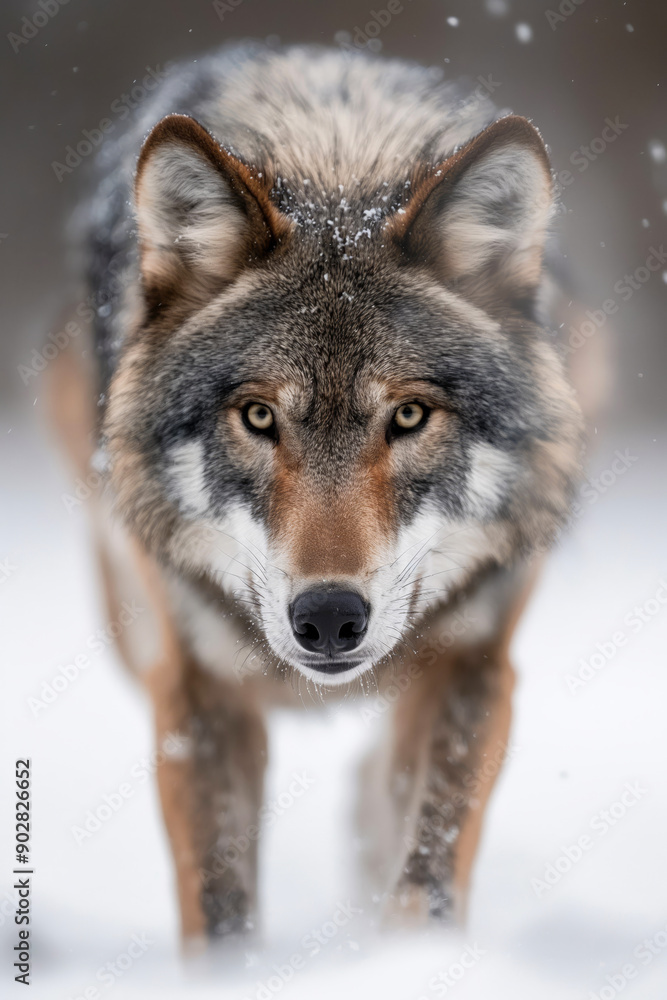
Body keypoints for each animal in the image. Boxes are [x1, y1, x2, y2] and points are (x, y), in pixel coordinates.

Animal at [49, 43, 583, 946]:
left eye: (408, 415)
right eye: (259, 417)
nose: (329, 617)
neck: (337, 164)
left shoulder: (476, 660)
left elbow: (428, 870)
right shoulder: (194, 688)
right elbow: (220, 908)